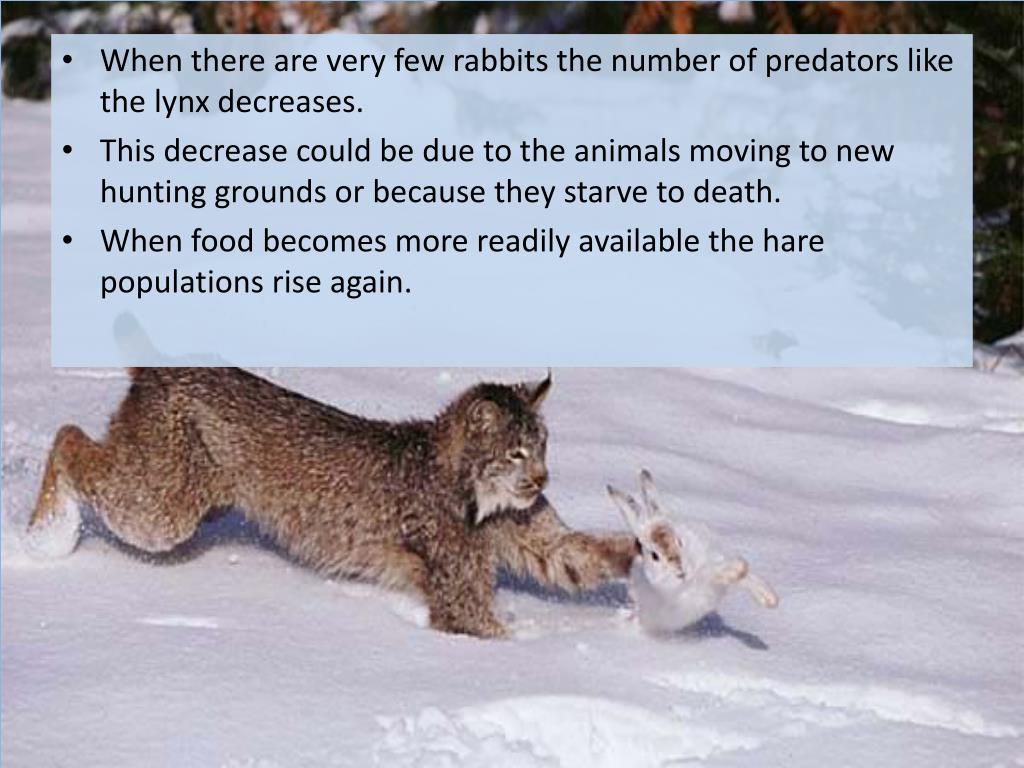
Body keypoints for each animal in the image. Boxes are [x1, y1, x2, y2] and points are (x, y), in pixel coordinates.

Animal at [607, 469, 778, 635]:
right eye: (654, 555)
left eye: (680, 541)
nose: (681, 572)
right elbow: (712, 575)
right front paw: (738, 569)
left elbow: (743, 578)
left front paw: (770, 599)